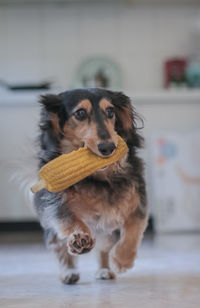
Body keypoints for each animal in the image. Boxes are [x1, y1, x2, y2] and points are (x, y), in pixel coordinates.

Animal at [33, 87, 148, 284]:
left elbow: (133, 229)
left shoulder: (137, 199)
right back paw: (69, 272)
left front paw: (122, 259)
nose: (108, 147)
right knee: (62, 251)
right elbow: (72, 220)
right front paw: (80, 239)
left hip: (108, 234)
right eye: (80, 113)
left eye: (110, 111)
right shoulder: (55, 204)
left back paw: (104, 269)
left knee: (103, 249)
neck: (99, 179)